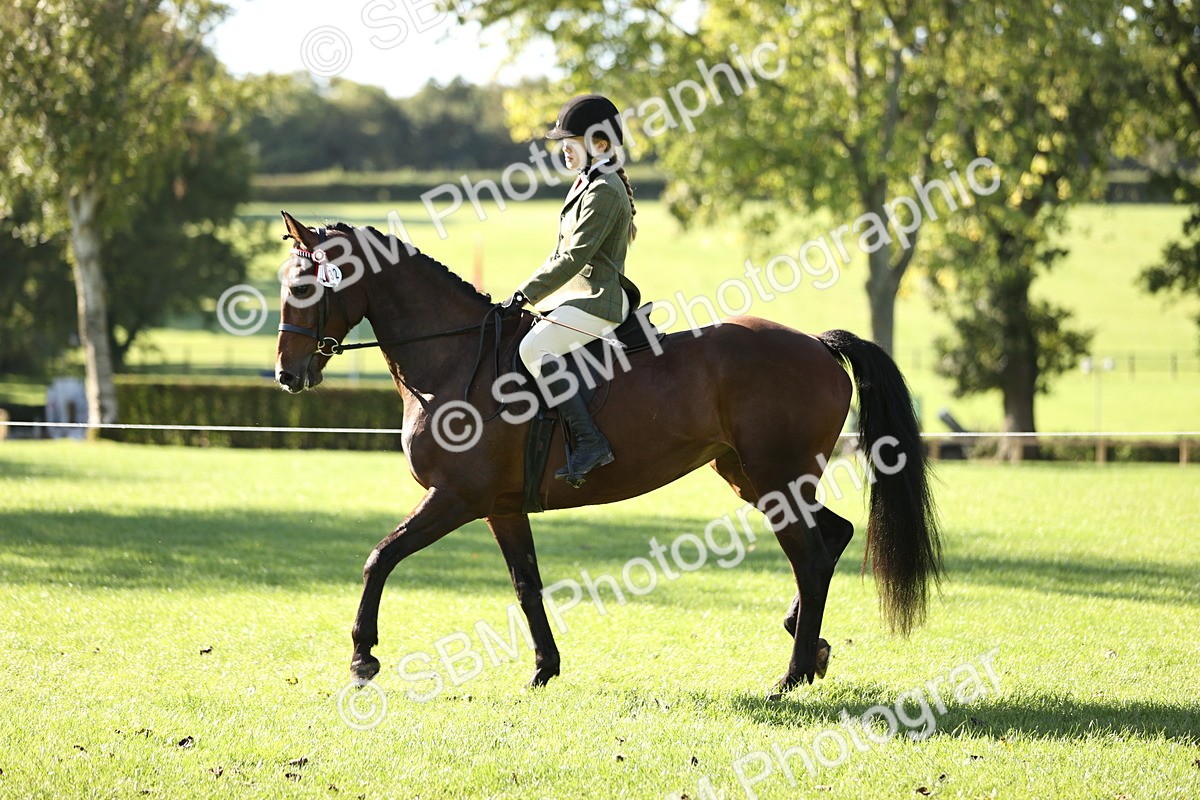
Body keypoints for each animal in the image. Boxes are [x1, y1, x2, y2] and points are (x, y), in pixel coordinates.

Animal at [273, 211, 942, 696]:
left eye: (305, 285)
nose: (286, 374)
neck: (456, 360)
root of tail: (818, 345)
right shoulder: (500, 507)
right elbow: (527, 584)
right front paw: (544, 669)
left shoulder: (455, 498)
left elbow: (379, 558)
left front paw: (362, 658)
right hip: (751, 476)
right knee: (832, 536)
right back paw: (809, 642)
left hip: (776, 478)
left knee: (809, 554)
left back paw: (792, 673)